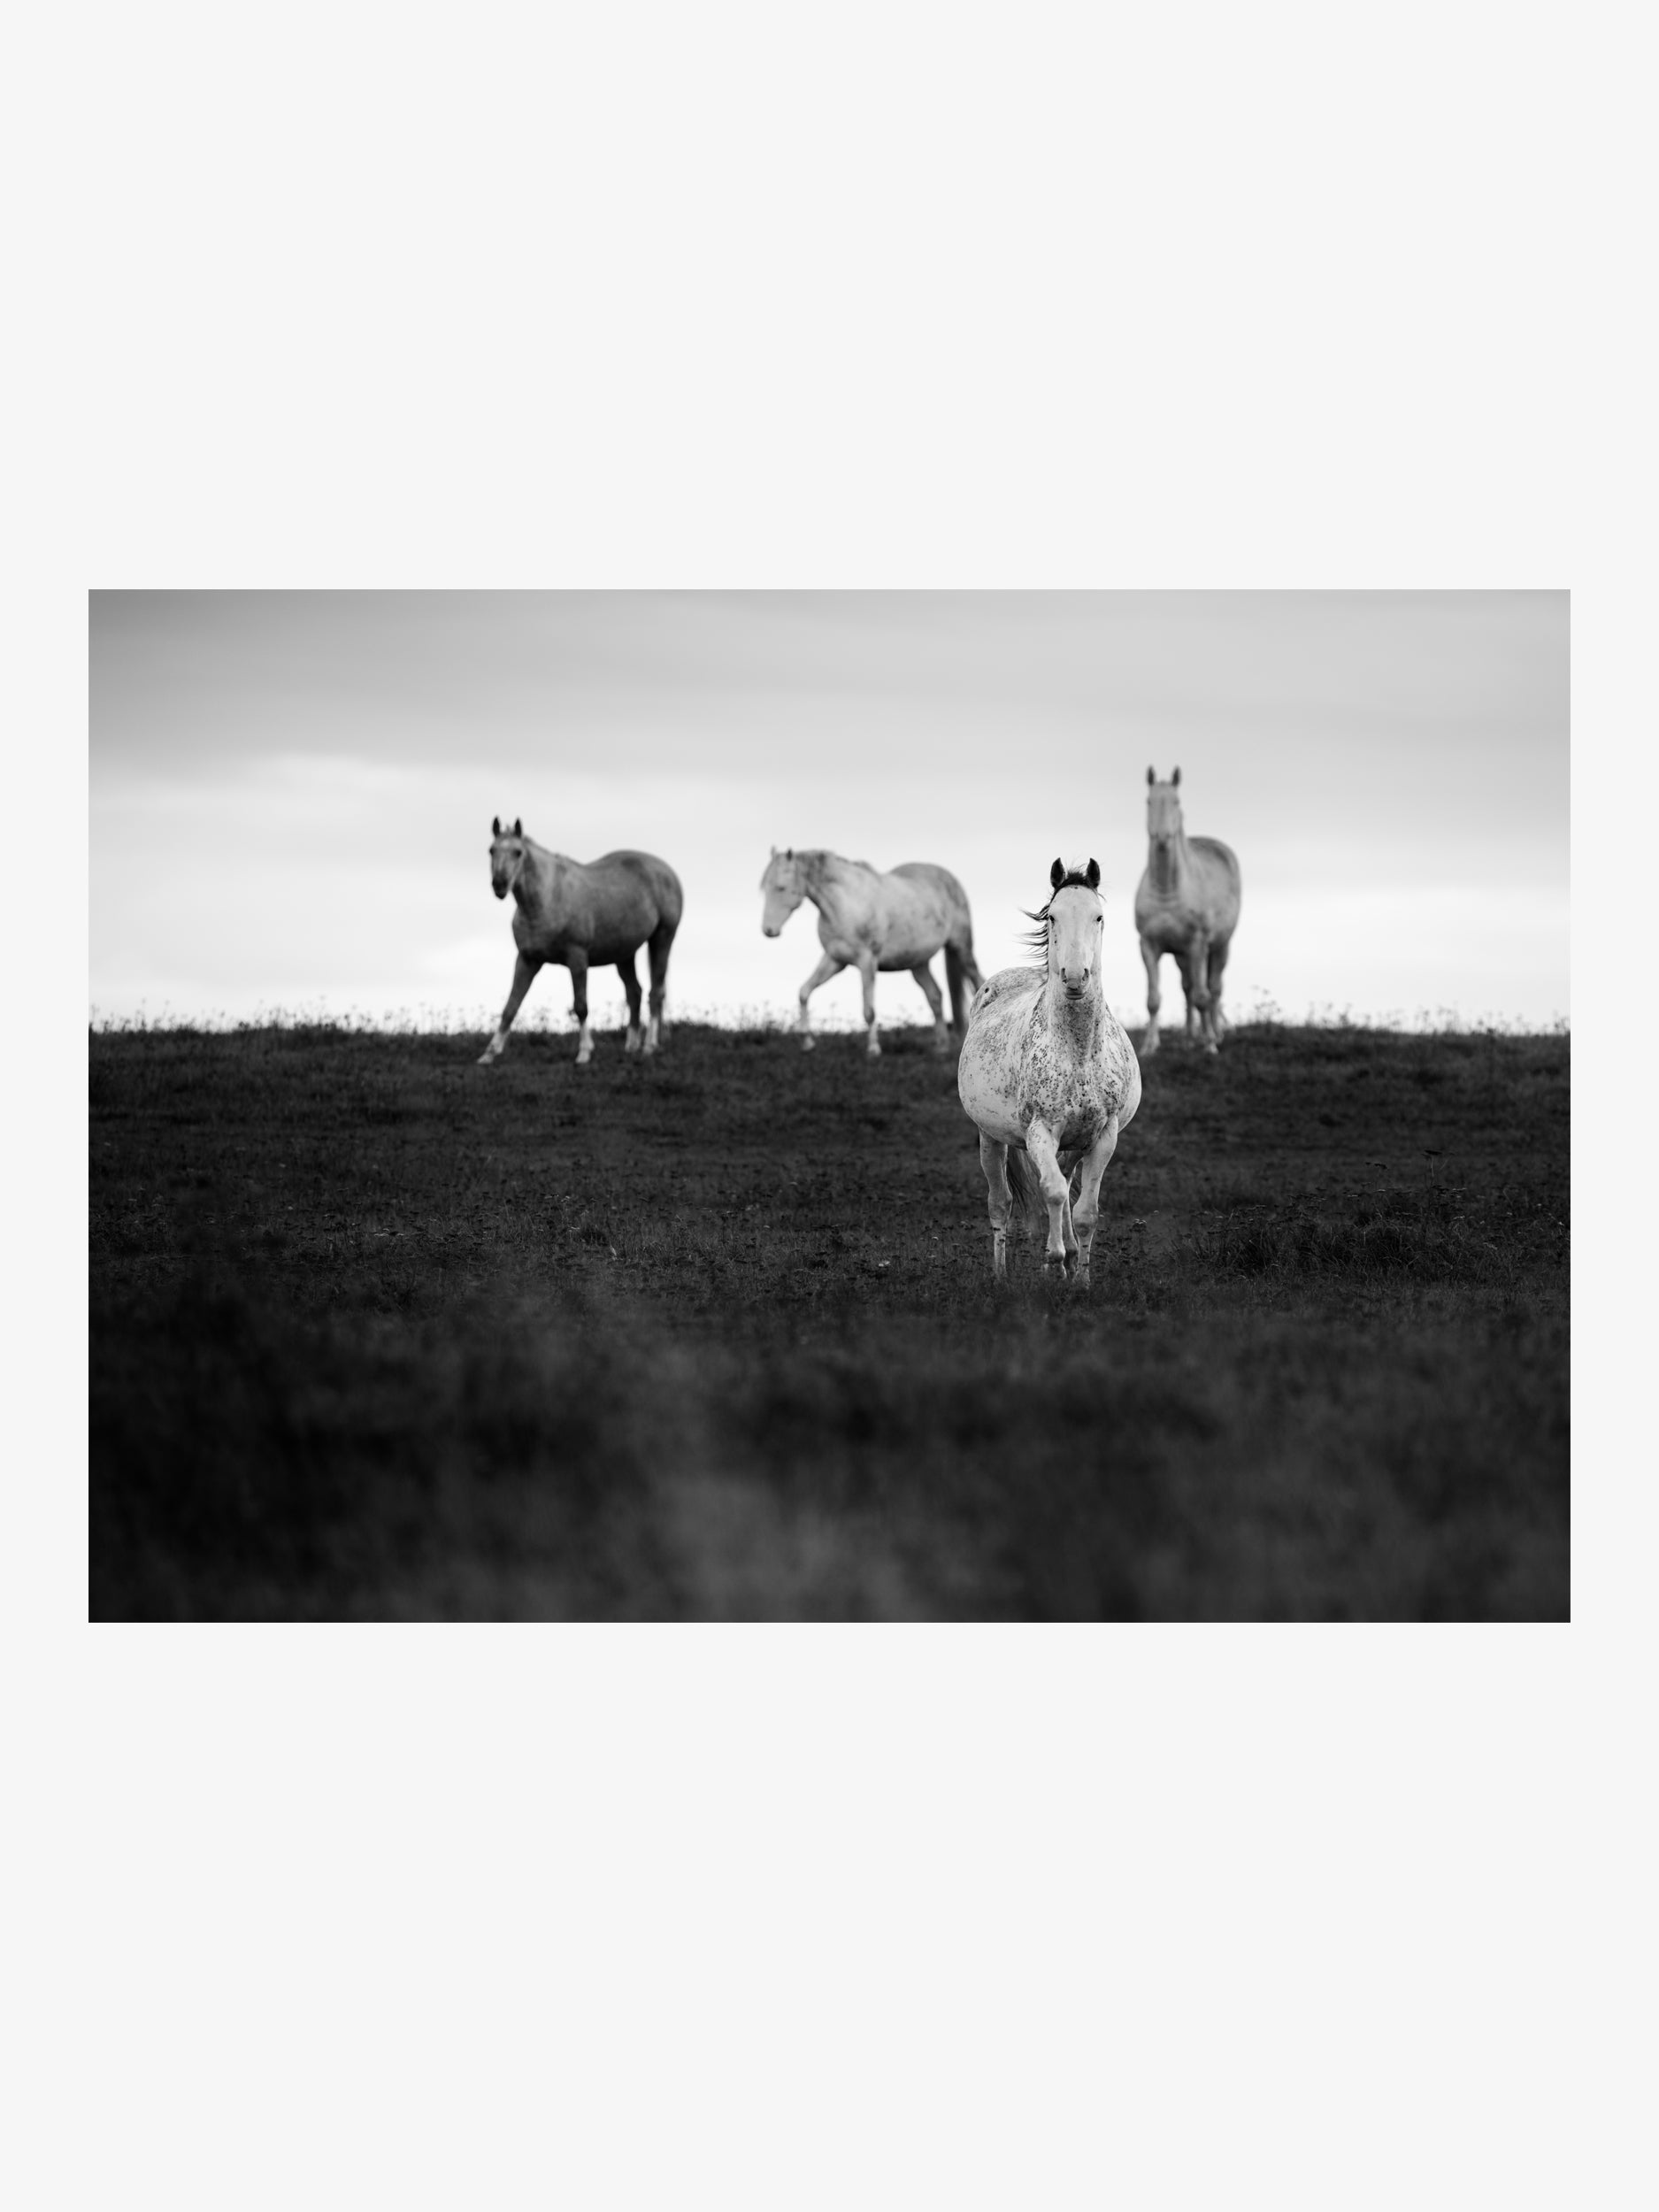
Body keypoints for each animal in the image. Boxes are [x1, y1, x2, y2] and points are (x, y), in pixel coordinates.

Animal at [477, 818, 683, 1067]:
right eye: (492, 850)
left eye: (518, 852)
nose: (500, 884)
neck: (548, 900)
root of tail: (666, 871)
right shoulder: (527, 960)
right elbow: (511, 1006)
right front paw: (489, 1054)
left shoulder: (577, 959)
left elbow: (581, 1006)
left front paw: (584, 1052)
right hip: (625, 954)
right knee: (635, 992)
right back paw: (631, 1046)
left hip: (662, 938)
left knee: (656, 993)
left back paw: (649, 1046)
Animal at [758, 847, 983, 1058]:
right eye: (764, 888)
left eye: (781, 888)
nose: (768, 931)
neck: (846, 905)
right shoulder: (834, 960)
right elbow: (804, 992)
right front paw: (807, 1043)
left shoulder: (867, 961)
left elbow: (869, 1011)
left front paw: (873, 1050)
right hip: (918, 964)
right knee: (935, 996)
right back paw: (942, 1047)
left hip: (962, 949)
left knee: (977, 981)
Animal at [957, 857, 1142, 1286]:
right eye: (1054, 917)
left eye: (1098, 916)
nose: (1074, 977)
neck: (1077, 1050)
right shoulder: (1041, 1130)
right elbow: (1054, 1193)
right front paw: (1054, 1263)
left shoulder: (1104, 1136)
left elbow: (1086, 1210)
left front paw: (1081, 1278)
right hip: (990, 1137)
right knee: (1002, 1202)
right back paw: (1001, 1274)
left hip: (1073, 1145)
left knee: (1065, 1182)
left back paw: (1071, 1255)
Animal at [1133, 767, 1242, 1056]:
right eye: (1148, 801)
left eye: (1176, 801)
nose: (1162, 838)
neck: (1167, 889)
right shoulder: (1148, 946)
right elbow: (1153, 999)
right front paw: (1149, 1046)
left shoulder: (1198, 945)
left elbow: (1203, 997)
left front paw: (1209, 1045)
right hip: (1182, 956)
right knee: (1188, 988)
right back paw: (1189, 1036)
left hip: (1219, 947)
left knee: (1213, 989)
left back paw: (1214, 1033)